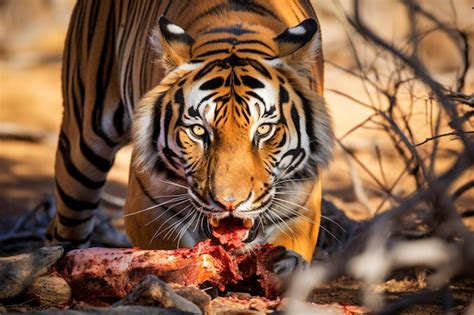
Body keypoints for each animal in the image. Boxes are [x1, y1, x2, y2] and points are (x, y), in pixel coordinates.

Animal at [45, 0, 334, 276]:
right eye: (198, 131)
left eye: (263, 130)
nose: (230, 203)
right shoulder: (146, 207)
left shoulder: (302, 210)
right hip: (82, 147)